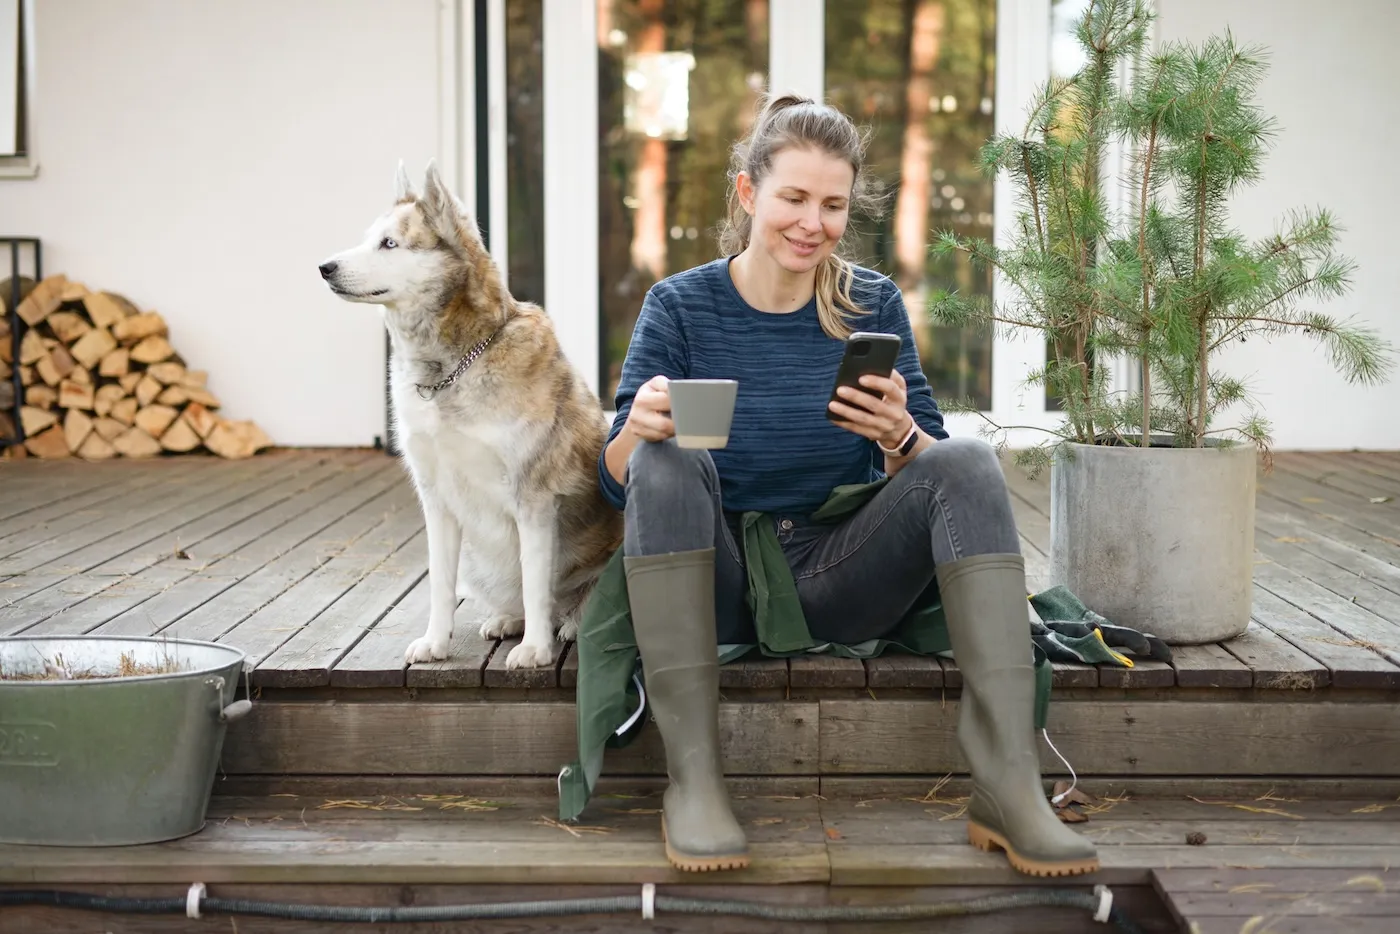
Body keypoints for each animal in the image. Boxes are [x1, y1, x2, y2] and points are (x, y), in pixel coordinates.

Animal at [320, 162, 627, 672]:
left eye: (390, 243)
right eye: (369, 239)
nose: (324, 267)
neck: (451, 371)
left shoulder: (533, 497)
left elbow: (535, 580)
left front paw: (535, 650)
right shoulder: (437, 498)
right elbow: (441, 585)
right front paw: (436, 642)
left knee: (567, 606)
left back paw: (567, 625)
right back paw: (509, 620)